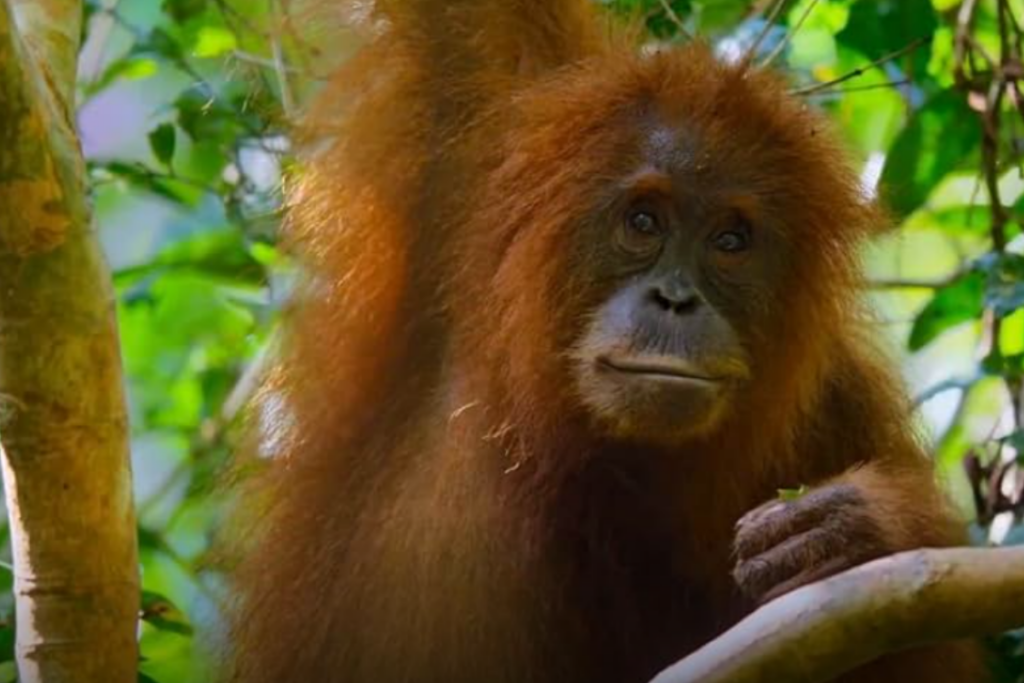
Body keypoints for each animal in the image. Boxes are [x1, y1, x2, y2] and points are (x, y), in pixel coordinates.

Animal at [221, 2, 988, 682]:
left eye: (731, 239)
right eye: (644, 220)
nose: (675, 300)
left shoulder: (835, 404)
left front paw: (858, 529)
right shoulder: (481, 150)